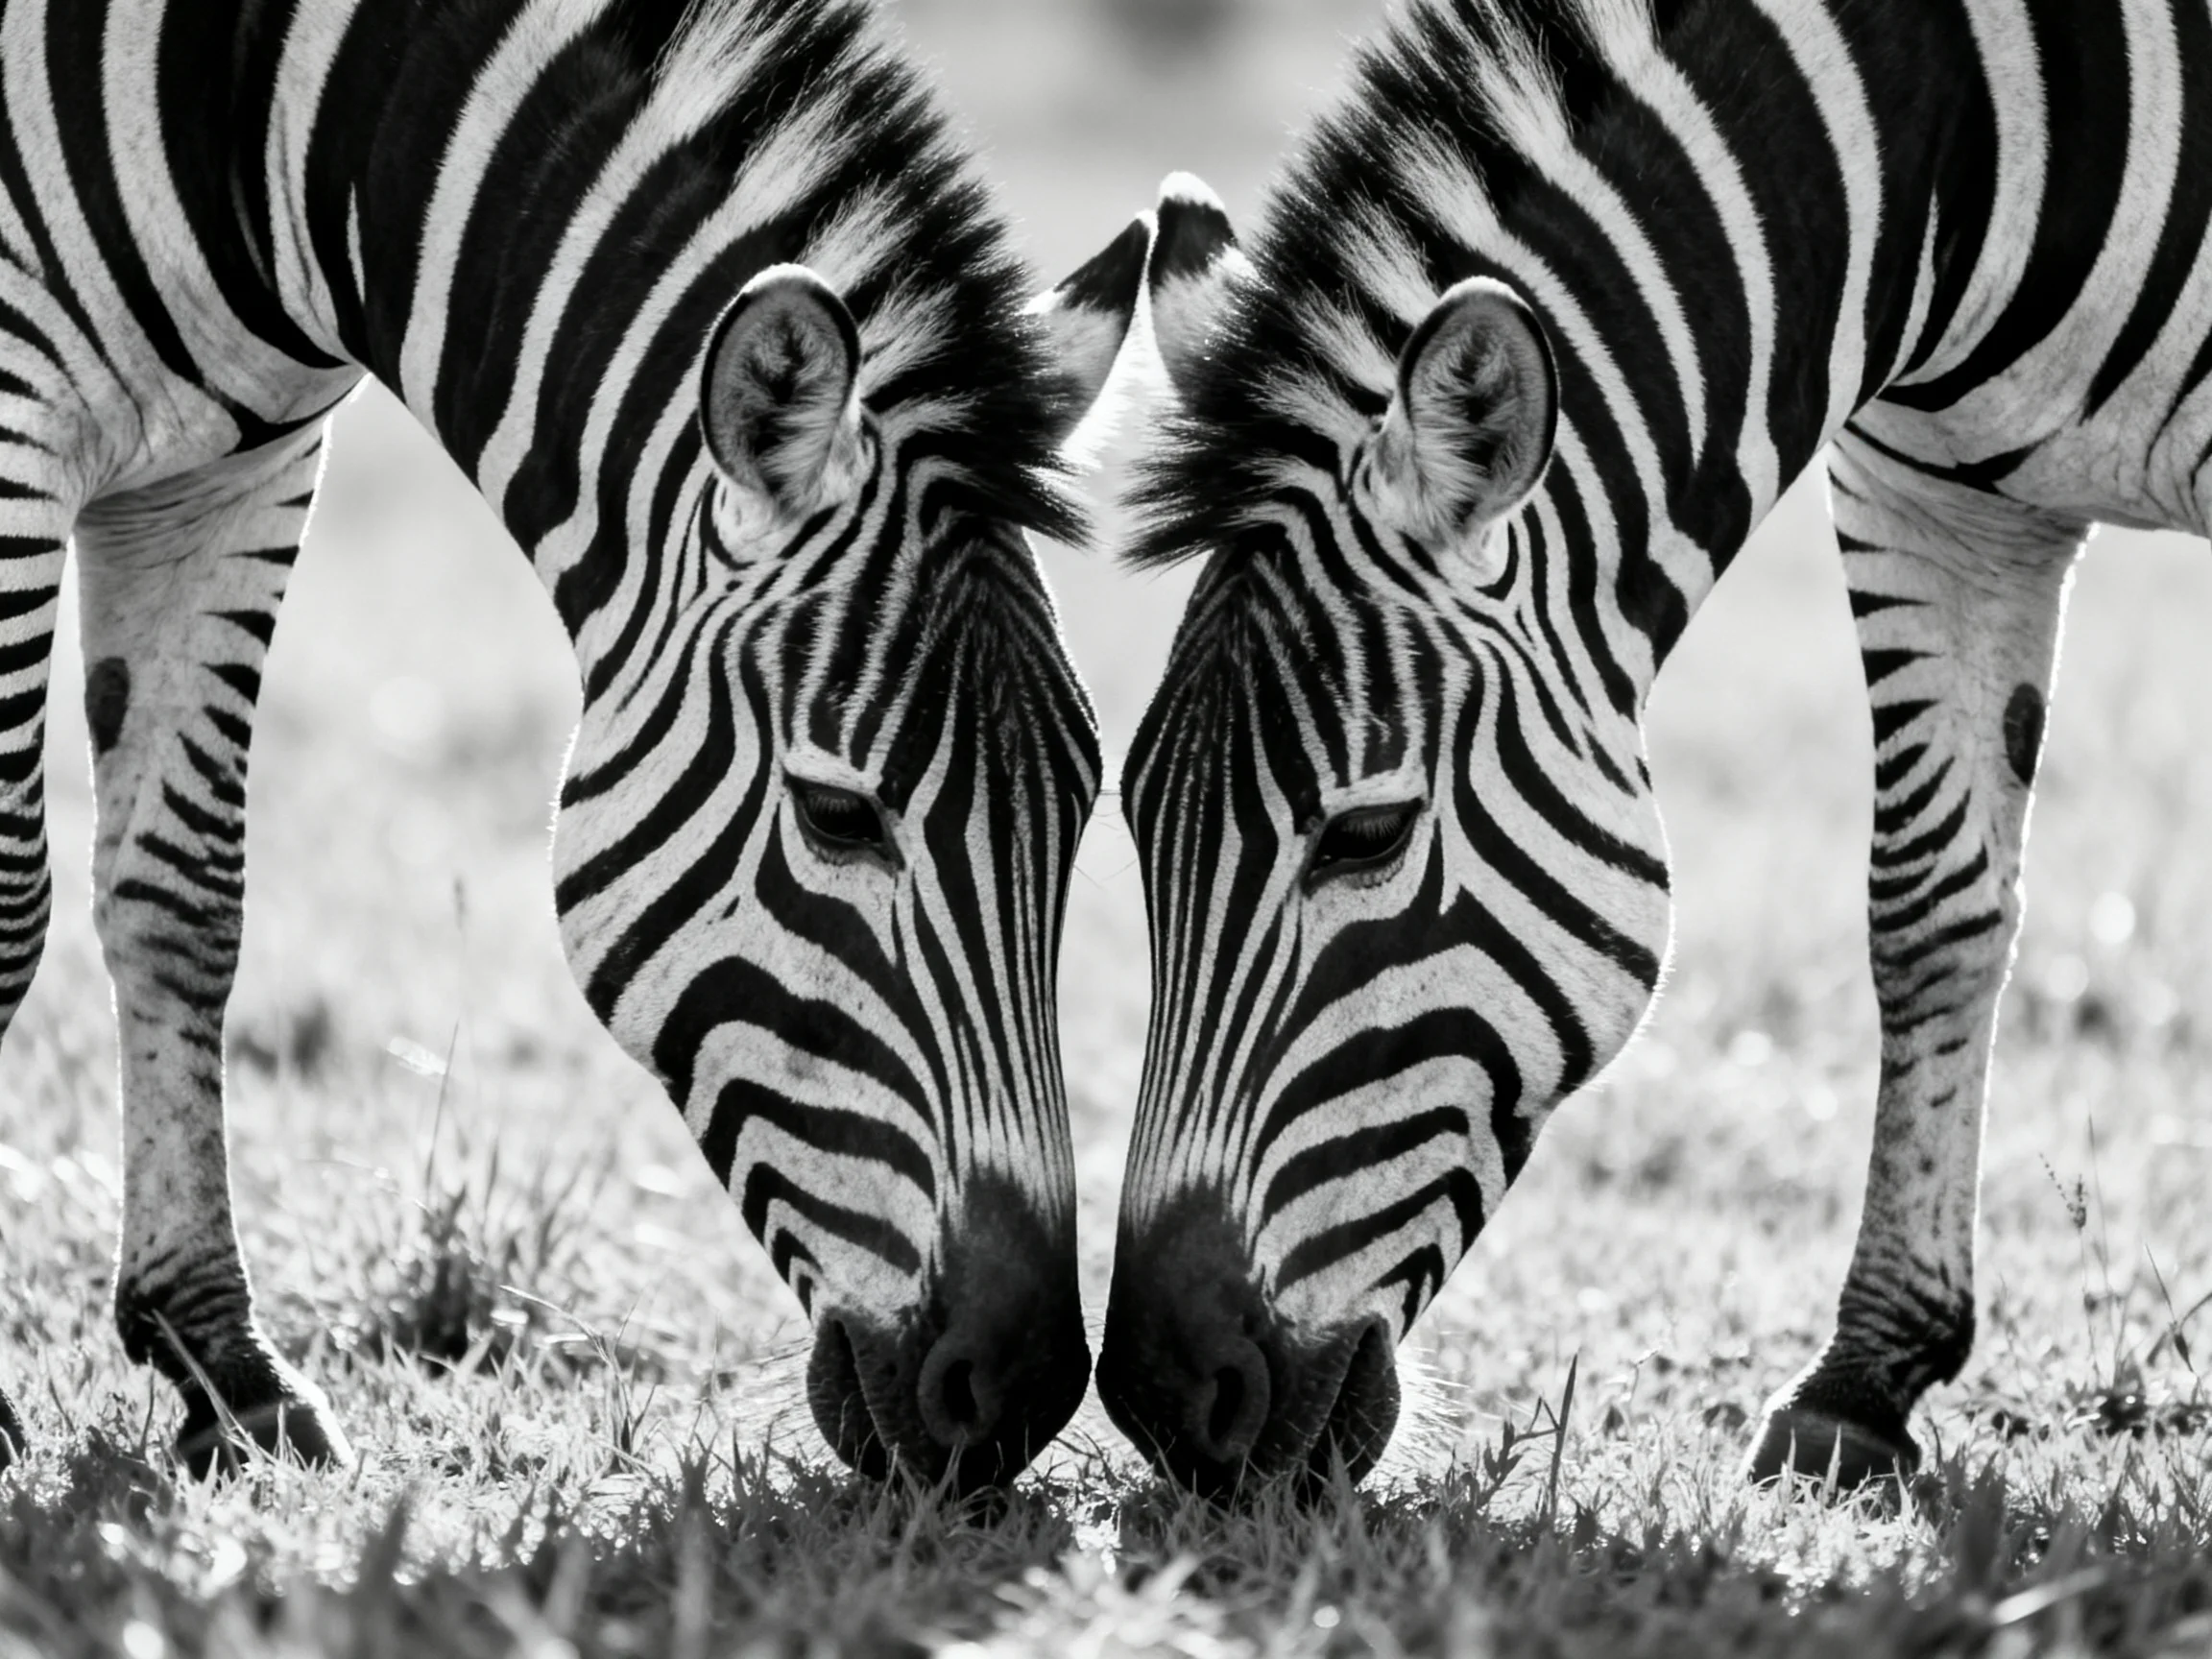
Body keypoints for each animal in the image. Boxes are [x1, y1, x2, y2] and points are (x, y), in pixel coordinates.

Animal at [0, 0, 1151, 1493]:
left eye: (1078, 809)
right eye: (838, 817)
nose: (1016, 1391)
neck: (261, 120)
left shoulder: (227, 471)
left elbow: (181, 898)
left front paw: (228, 1373)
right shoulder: (12, 417)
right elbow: (9, 908)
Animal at [1096, 0, 2211, 1496]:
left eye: (1366, 835)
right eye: (1138, 821)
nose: (1167, 1398)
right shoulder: (1933, 494)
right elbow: (1931, 911)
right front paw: (1862, 1383)